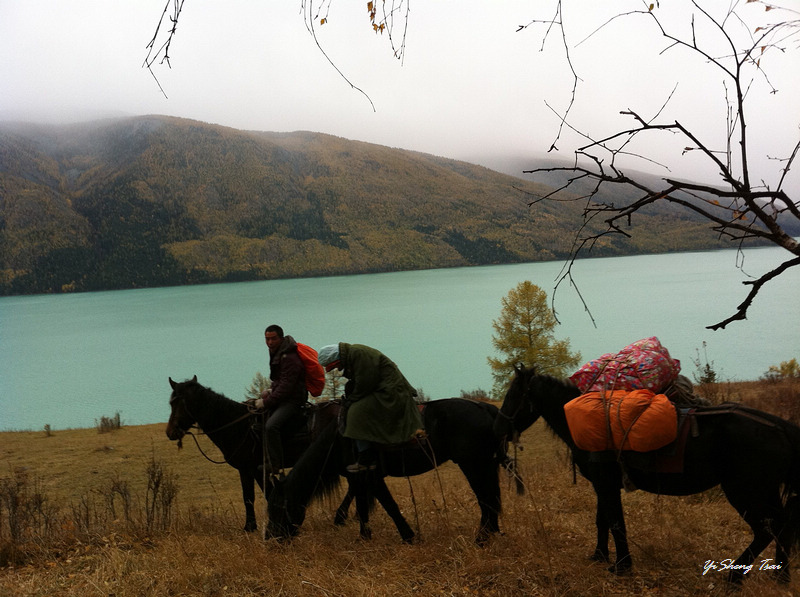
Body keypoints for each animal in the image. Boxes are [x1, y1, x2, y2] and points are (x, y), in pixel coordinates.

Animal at [268, 398, 520, 544]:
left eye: (277, 507)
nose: (271, 538)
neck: (339, 439)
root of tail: (485, 407)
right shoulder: (359, 479)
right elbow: (363, 508)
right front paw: (364, 538)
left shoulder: (369, 477)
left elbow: (389, 506)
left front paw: (408, 537)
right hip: (486, 465)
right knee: (491, 500)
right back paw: (490, 534)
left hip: (474, 465)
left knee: (487, 500)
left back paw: (481, 539)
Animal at [494, 366, 800, 584]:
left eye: (512, 395)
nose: (499, 428)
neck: (584, 419)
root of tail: (780, 427)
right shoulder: (602, 485)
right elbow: (602, 521)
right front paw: (599, 556)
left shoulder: (606, 484)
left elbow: (616, 523)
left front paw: (621, 566)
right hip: (763, 491)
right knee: (783, 526)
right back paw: (780, 575)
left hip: (746, 491)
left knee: (767, 529)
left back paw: (735, 575)